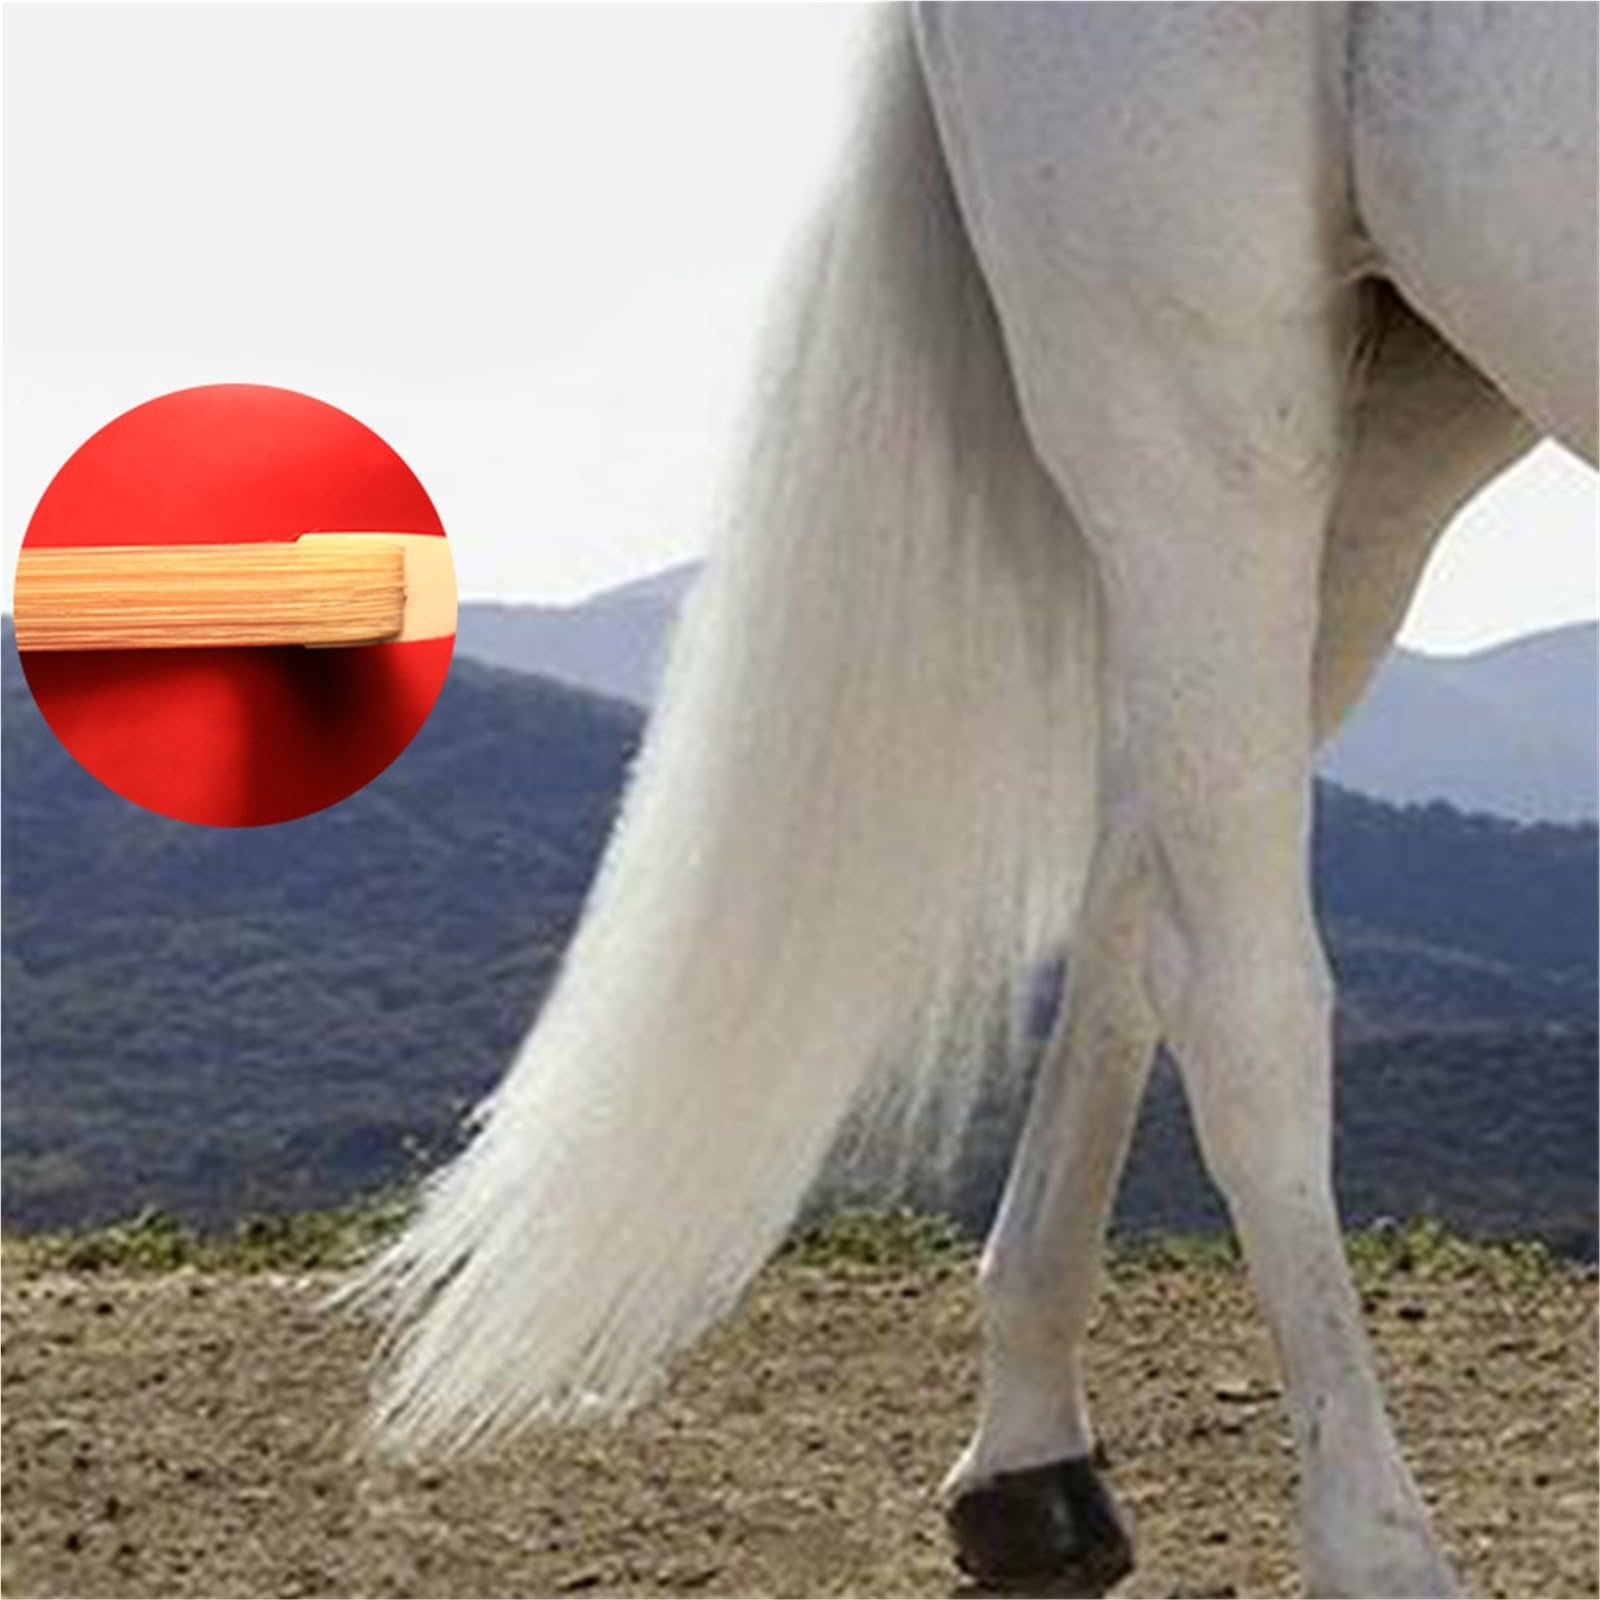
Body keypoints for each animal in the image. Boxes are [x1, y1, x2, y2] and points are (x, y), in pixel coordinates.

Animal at [351, 7, 1597, 1596]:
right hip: (1196, 393)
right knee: (1237, 989)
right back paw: (1369, 1550)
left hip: (1400, 416)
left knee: (1137, 873)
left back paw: (1028, 1460)